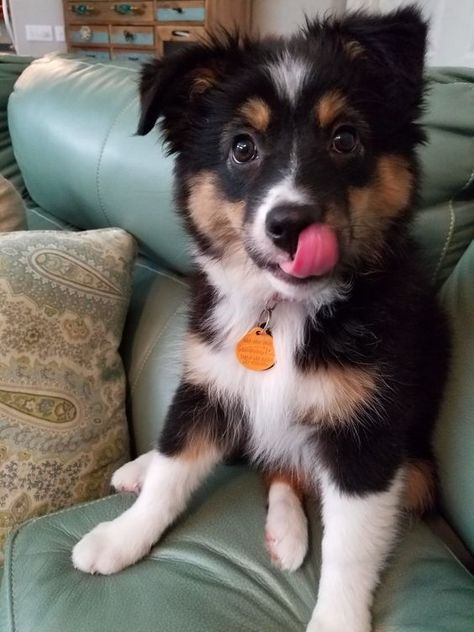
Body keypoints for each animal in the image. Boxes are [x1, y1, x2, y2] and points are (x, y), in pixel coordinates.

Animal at [72, 7, 450, 628]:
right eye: (242, 148)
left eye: (345, 139)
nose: (290, 224)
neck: (285, 310)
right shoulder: (208, 379)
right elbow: (174, 470)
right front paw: (120, 538)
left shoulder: (368, 435)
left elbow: (350, 545)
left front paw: (337, 619)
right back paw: (144, 471)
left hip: (416, 472)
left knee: (287, 471)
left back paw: (285, 532)